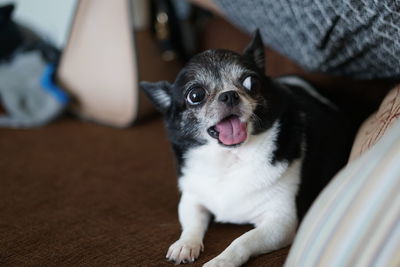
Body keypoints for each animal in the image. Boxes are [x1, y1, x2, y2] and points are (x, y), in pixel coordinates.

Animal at [140, 30, 350, 266]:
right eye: (195, 95)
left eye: (252, 82)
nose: (229, 94)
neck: (230, 158)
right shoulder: (191, 199)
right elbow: (192, 224)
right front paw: (185, 244)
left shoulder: (281, 222)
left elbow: (243, 240)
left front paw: (222, 261)